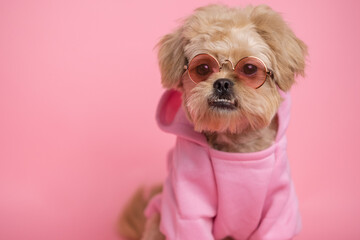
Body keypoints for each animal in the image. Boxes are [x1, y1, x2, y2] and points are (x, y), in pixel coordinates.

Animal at [118, 4, 306, 240]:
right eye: (203, 68)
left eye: (250, 69)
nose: (222, 83)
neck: (235, 146)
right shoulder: (188, 209)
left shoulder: (278, 211)